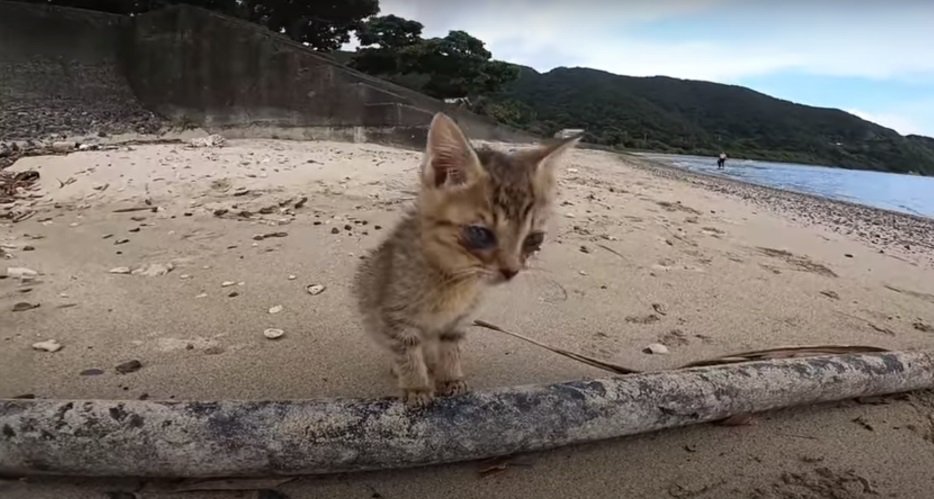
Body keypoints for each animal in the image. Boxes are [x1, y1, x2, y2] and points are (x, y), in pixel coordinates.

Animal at [354, 112, 580, 406]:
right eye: (480, 233)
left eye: (534, 239)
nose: (512, 270)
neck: (453, 277)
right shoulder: (395, 314)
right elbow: (406, 351)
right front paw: (416, 385)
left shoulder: (458, 322)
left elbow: (451, 348)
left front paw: (451, 377)